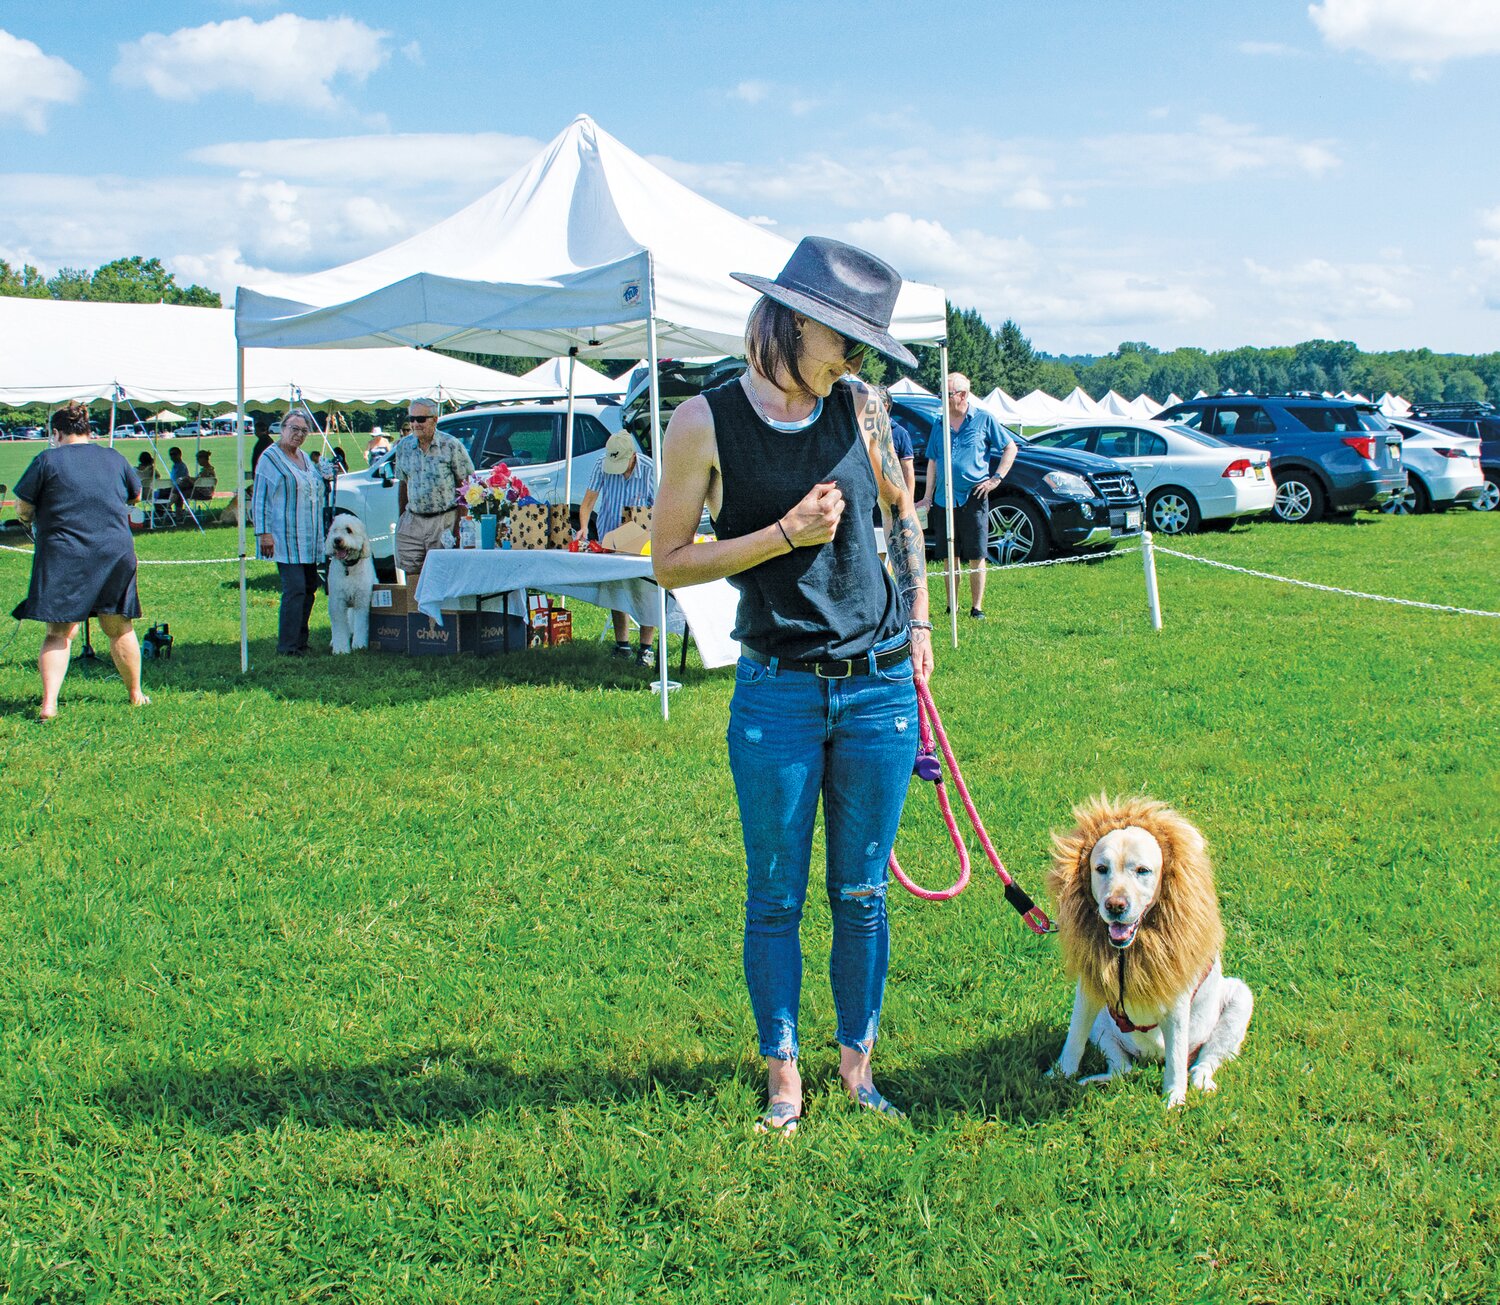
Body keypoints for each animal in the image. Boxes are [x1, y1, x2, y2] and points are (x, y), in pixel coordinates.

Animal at [325, 510, 375, 654]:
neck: (349, 568)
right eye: (335, 530)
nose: (337, 540)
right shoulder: (338, 603)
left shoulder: (361, 601)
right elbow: (339, 626)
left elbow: (360, 624)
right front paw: (341, 649)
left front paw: (359, 645)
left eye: (349, 530)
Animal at [1050, 792, 1248, 1110]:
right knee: (1121, 1067)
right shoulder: (1089, 992)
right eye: (1101, 869)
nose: (1115, 906)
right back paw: (1097, 1080)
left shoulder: (1176, 999)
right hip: (1104, 1022)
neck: (1127, 953)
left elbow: (1177, 1061)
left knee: (1203, 1062)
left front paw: (1174, 1099)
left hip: (1240, 1000)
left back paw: (1202, 1083)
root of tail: (1150, 1059)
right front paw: (1056, 1077)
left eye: (1142, 870)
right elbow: (1073, 1040)